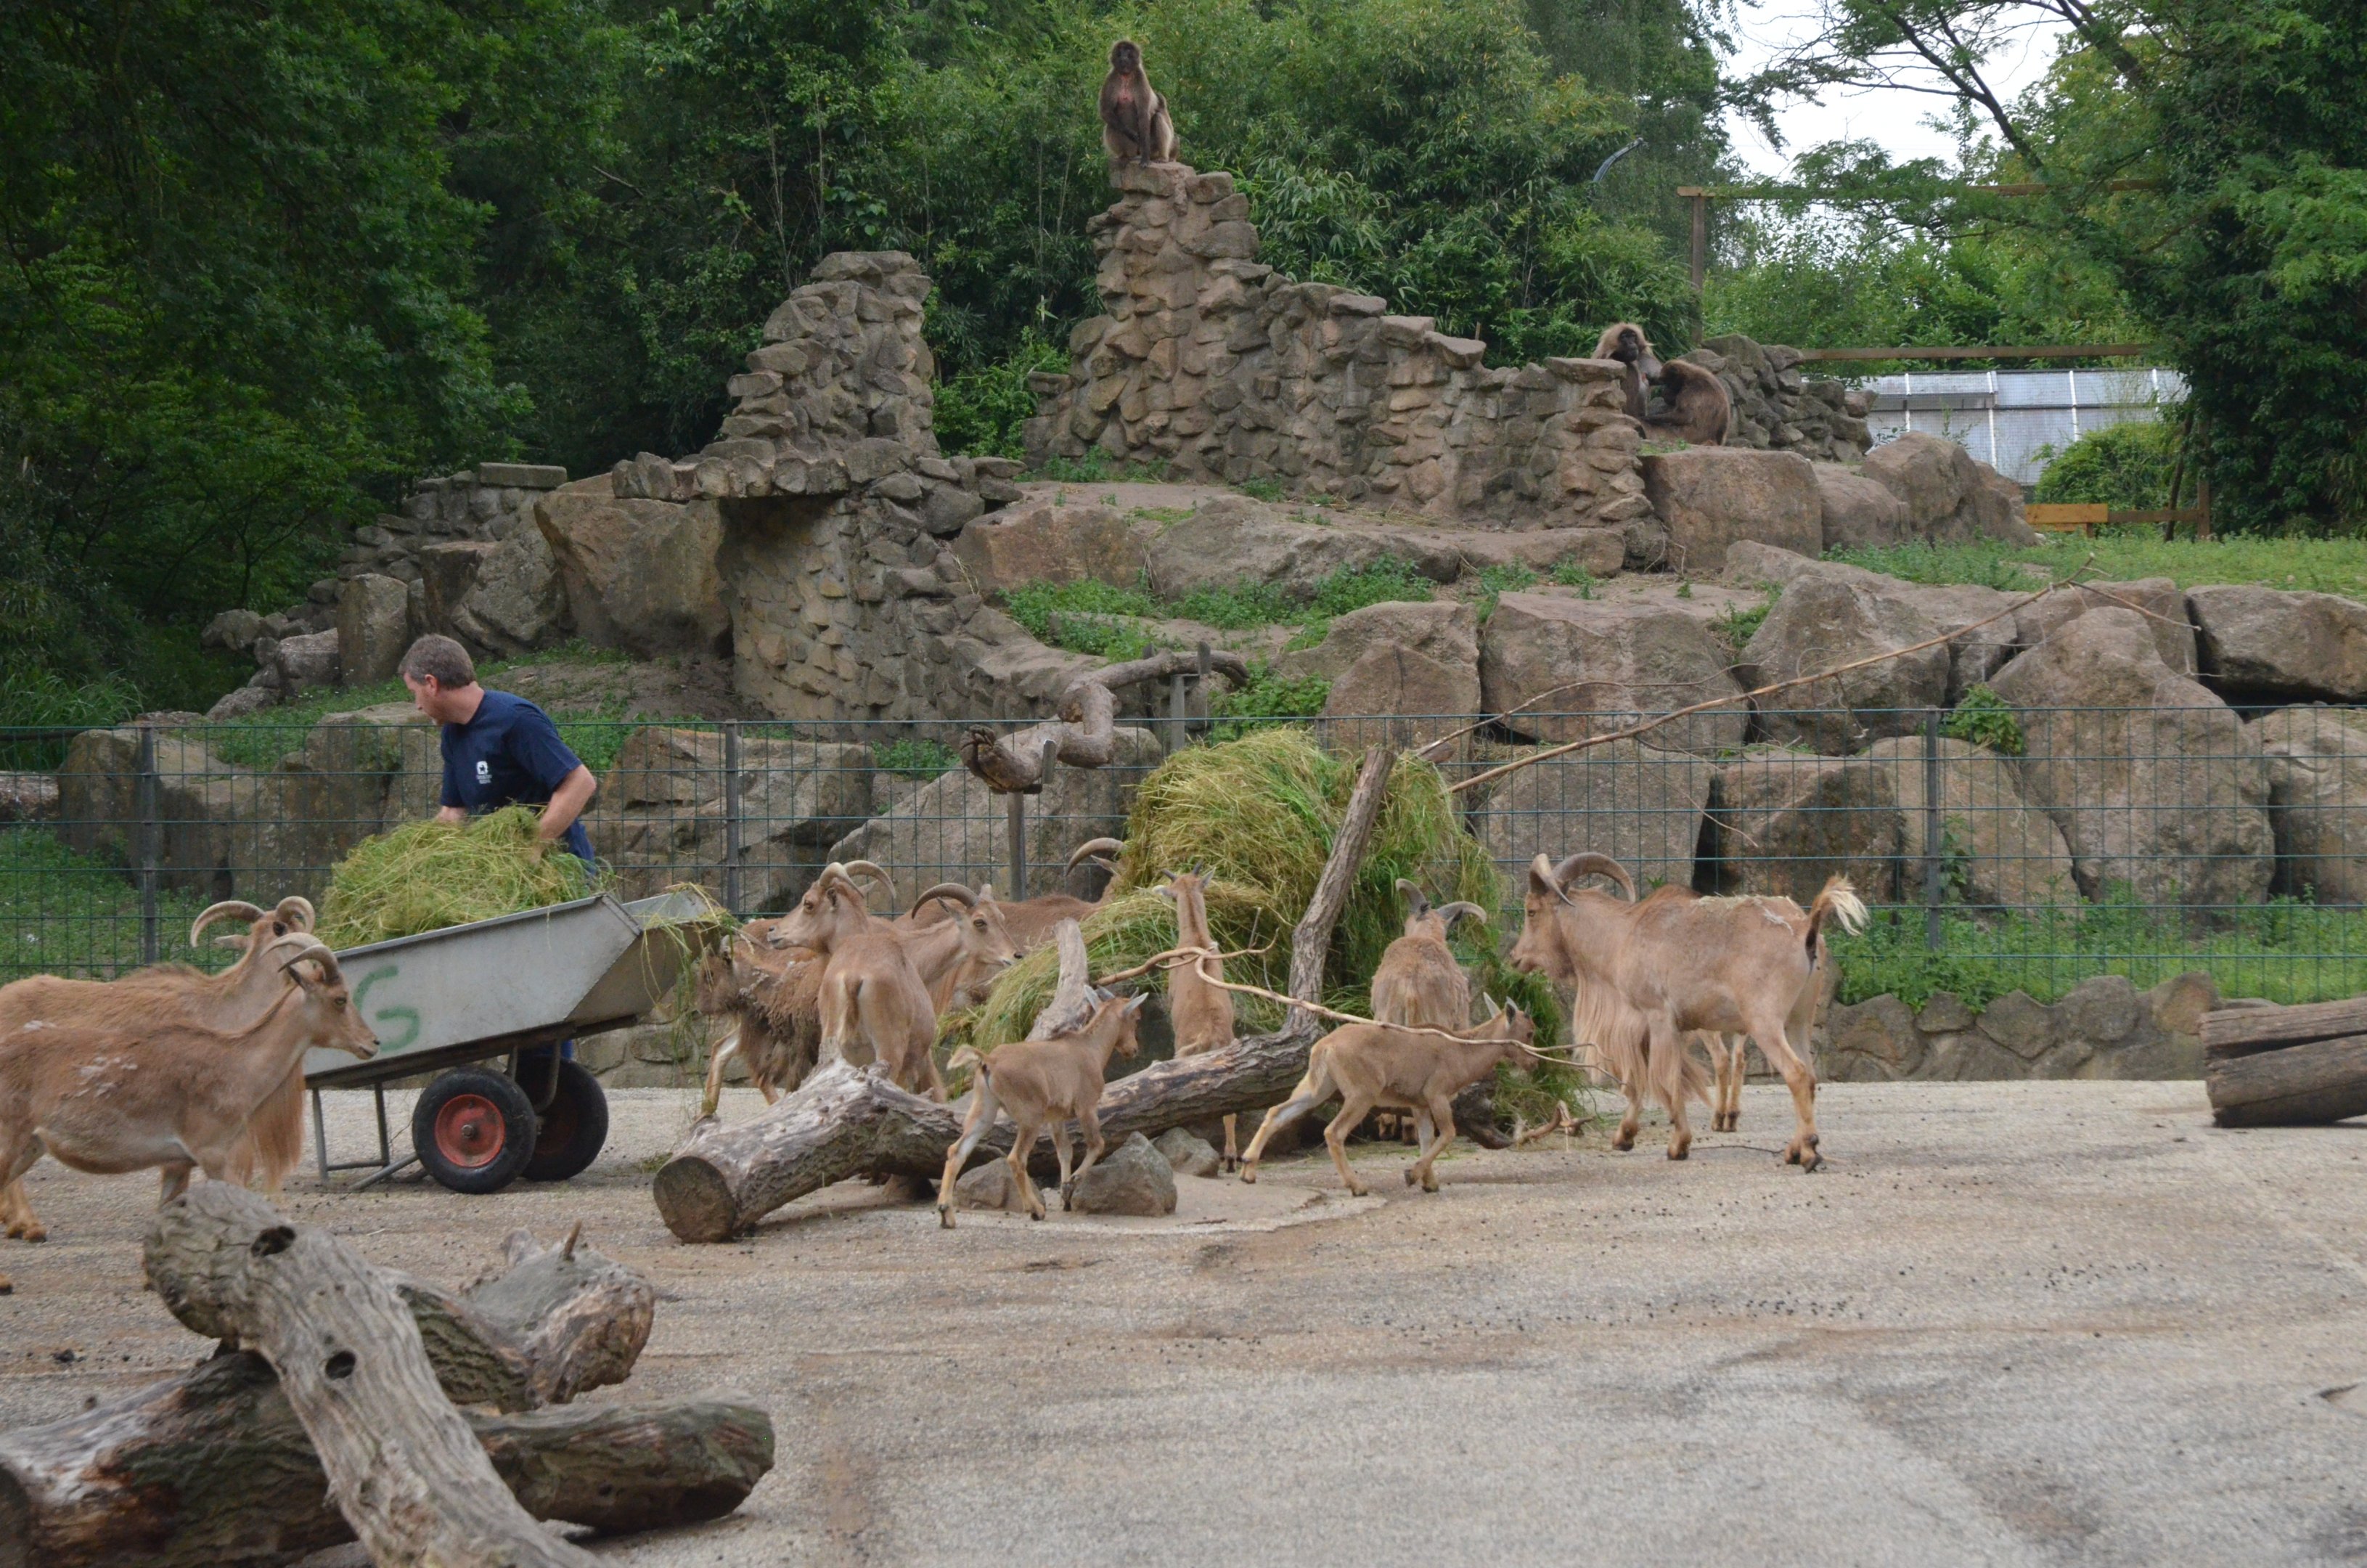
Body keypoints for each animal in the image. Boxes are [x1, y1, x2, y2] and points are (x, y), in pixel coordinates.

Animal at [0, 934, 377, 1236]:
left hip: (31, 1146)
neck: (236, 1064)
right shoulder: (213, 1152)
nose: (372, 1043)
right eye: (340, 998)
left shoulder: (179, 1162)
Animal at [935, 987, 1147, 1227]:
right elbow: (1097, 1144)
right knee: (1016, 1158)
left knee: (956, 1151)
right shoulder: (1087, 1107)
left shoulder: (1056, 1118)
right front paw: (1073, 1181)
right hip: (1031, 1118)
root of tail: (990, 1061)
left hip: (984, 1110)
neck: (1090, 1048)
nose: (1133, 1049)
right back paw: (1035, 1209)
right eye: (1136, 1017)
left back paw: (946, 1213)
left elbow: (1065, 1151)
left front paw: (1066, 1195)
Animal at [1237, 1001, 1538, 1195]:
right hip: (1361, 1094)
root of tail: (1324, 1047)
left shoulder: (1420, 1104)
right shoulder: (1437, 1094)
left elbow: (1426, 1138)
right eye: (1529, 1032)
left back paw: (1248, 1170)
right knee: (1333, 1131)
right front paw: (1411, 1175)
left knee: (1277, 1112)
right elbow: (1449, 1133)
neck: (1461, 1053)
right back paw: (1357, 1186)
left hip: (1317, 1087)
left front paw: (1429, 1183)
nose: (1533, 1063)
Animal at [1509, 851, 1863, 1170]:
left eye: (1531, 911)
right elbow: (1648, 1078)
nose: (1515, 957)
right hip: (1799, 1020)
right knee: (1811, 1075)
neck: (1622, 936)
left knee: (1797, 1074)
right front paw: (1624, 1137)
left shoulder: (1657, 1017)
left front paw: (1677, 1144)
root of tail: (1806, 929)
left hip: (1765, 1022)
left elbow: (1662, 1078)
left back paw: (1808, 1152)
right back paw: (1794, 1148)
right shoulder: (1665, 1028)